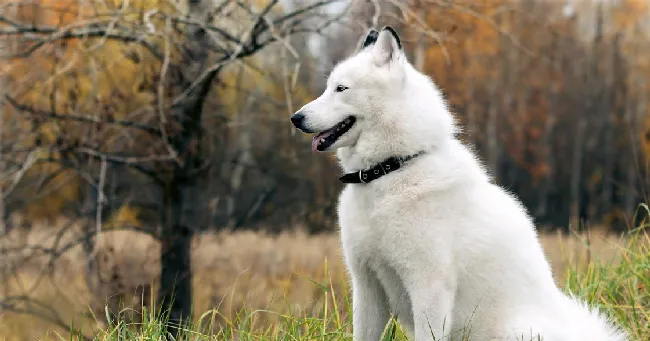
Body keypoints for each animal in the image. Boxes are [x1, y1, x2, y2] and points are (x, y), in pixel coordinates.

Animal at [292, 25, 624, 340]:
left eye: (341, 88)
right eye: (328, 87)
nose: (296, 118)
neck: (391, 169)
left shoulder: (429, 285)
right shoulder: (367, 286)